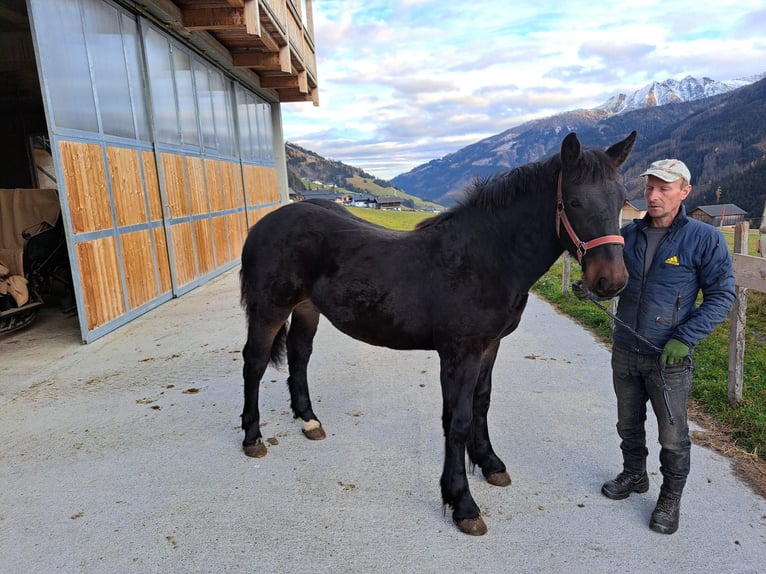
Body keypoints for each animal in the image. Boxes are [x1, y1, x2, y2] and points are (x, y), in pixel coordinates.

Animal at [238, 130, 636, 536]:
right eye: (573, 201)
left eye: (622, 200)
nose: (611, 282)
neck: (485, 259)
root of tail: (264, 224)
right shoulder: (460, 353)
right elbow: (457, 420)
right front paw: (462, 503)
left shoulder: (489, 347)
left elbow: (481, 404)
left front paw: (490, 464)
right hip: (269, 310)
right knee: (254, 363)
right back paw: (252, 438)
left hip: (306, 308)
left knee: (299, 357)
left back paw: (309, 421)